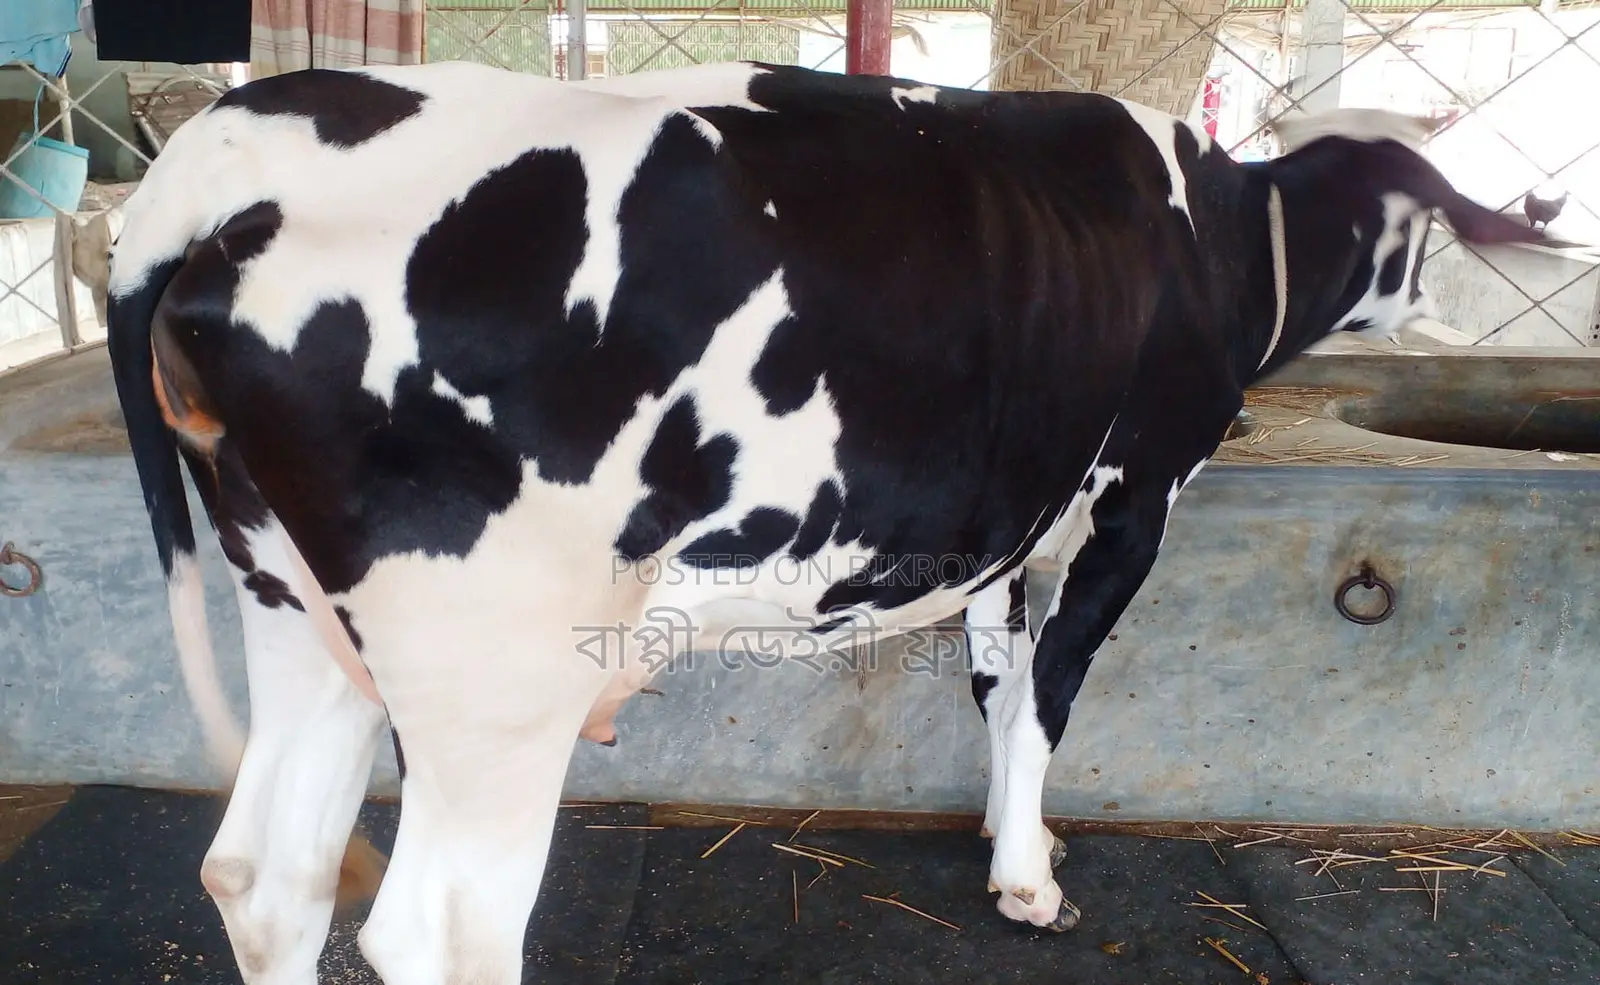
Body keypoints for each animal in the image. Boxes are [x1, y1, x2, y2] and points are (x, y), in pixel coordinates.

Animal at [104, 58, 1541, 984]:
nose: (1442, 304)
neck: (1225, 238)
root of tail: (239, 140)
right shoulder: (1131, 500)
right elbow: (1053, 691)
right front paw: (1031, 881)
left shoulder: (996, 516)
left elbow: (996, 679)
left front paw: (1002, 833)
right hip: (489, 665)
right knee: (439, 933)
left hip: (294, 606)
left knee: (267, 878)